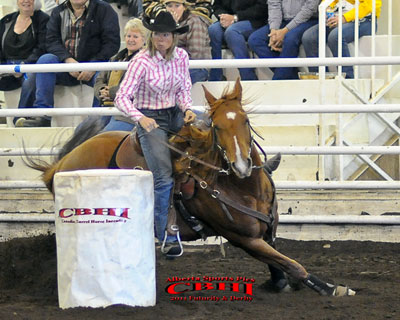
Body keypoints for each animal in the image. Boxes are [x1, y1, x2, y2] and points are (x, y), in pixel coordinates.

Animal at [27, 78, 354, 298]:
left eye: (245, 121)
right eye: (217, 126)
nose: (241, 165)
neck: (241, 186)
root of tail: (64, 162)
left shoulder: (265, 234)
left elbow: (280, 264)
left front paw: (282, 283)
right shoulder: (242, 239)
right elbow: (293, 265)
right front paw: (331, 288)